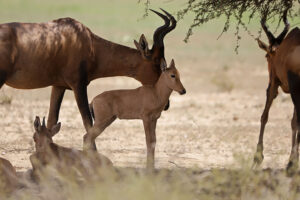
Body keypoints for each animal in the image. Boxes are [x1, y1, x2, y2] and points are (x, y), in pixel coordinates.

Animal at [0, 9, 176, 148]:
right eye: (157, 62)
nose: (166, 105)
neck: (87, 41)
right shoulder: (78, 85)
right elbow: (88, 124)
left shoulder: (58, 86)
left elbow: (51, 122)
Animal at [253, 10, 300, 173]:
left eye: (267, 55)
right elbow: (293, 122)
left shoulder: (274, 83)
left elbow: (264, 116)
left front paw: (257, 157)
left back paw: (291, 164)